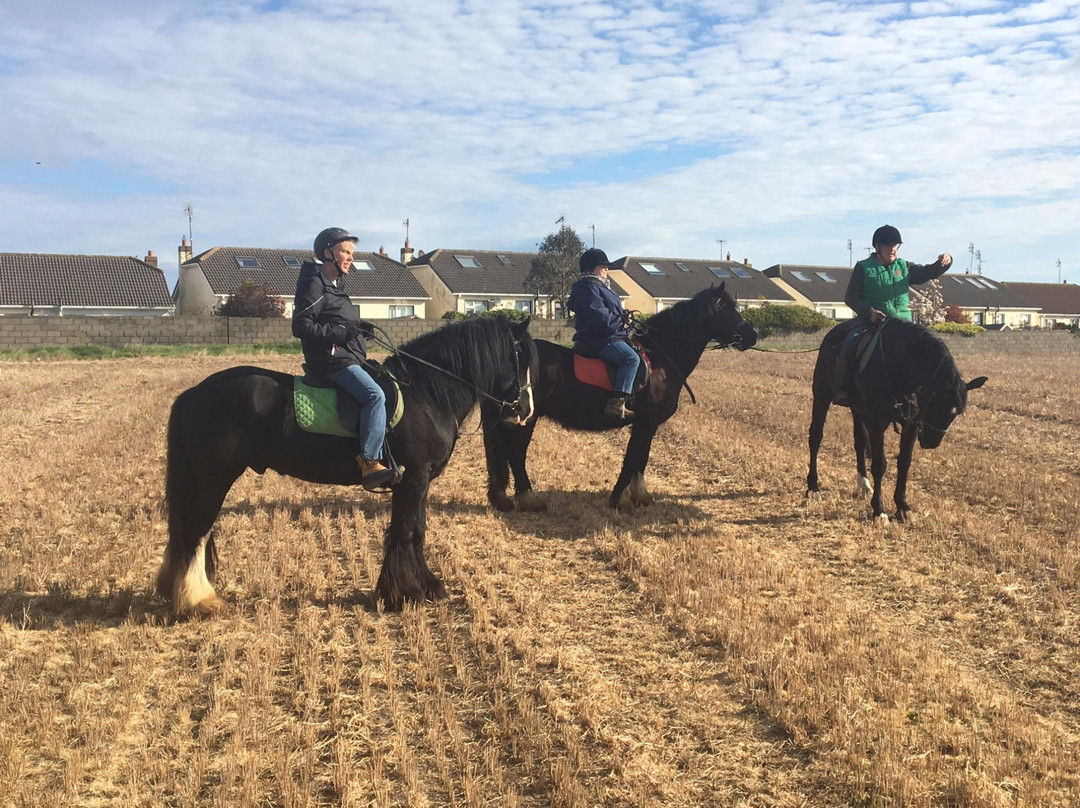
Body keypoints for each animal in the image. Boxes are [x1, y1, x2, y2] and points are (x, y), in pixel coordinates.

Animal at [157, 316, 536, 616]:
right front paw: (404, 594)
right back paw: (198, 600)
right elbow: (405, 531)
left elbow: (417, 531)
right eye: (519, 357)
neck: (427, 393)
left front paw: (427, 586)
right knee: (195, 532)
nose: (524, 410)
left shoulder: (420, 480)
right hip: (214, 480)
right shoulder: (413, 478)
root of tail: (193, 393)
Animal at [481, 284, 758, 511]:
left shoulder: (647, 425)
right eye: (726, 308)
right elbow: (632, 458)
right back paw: (529, 500)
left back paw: (503, 499)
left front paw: (640, 496)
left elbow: (641, 458)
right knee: (516, 454)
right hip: (525, 417)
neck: (660, 359)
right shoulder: (646, 422)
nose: (753, 335)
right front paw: (618, 500)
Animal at [807, 318, 987, 522]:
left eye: (954, 414)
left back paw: (863, 484)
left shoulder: (911, 425)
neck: (898, 366)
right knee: (816, 437)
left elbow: (904, 462)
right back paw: (813, 487)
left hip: (858, 409)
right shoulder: (877, 422)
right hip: (822, 396)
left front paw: (903, 506)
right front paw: (879, 510)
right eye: (937, 405)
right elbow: (879, 465)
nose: (932, 441)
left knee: (860, 442)